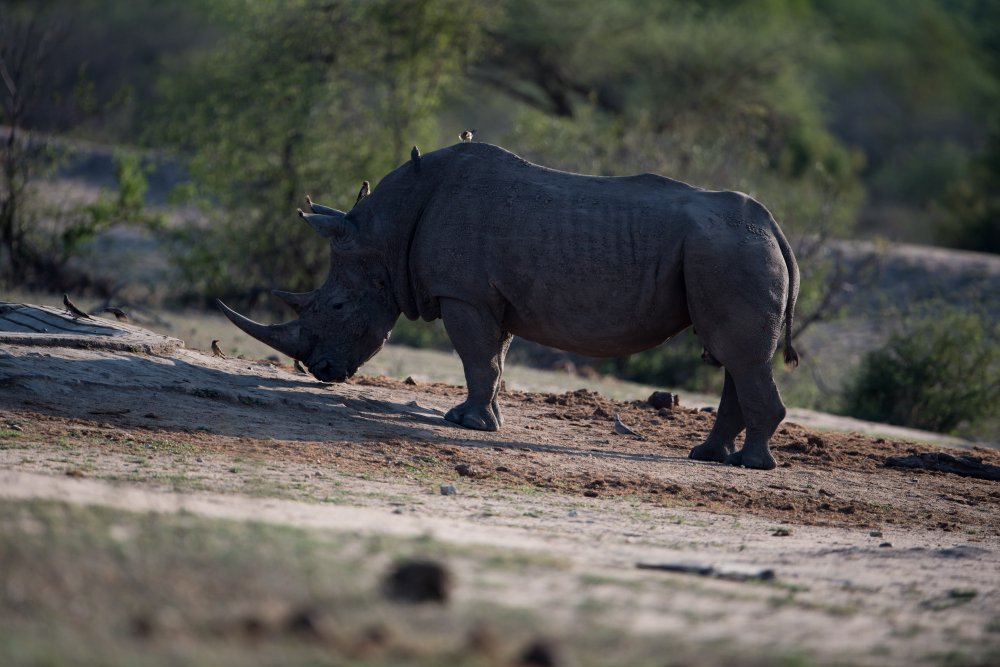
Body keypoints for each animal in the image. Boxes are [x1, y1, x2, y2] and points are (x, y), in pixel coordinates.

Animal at [218, 142, 799, 470]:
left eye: (337, 306)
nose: (321, 371)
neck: (385, 233)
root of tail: (775, 226)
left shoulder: (464, 292)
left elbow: (477, 356)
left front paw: (465, 425)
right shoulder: (490, 294)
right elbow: (494, 358)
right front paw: (485, 420)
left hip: (731, 251)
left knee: (738, 356)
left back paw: (750, 466)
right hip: (731, 250)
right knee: (734, 357)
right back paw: (709, 457)